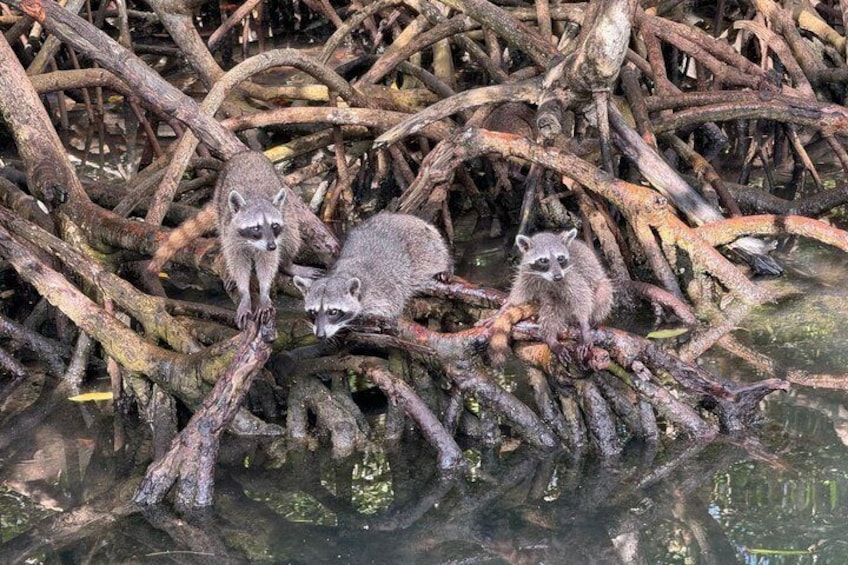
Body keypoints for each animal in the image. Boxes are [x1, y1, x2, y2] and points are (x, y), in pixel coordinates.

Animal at [149, 151, 302, 329]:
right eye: (256, 228)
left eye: (274, 225)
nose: (271, 246)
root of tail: (247, 152)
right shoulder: (231, 232)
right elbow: (237, 262)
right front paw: (245, 294)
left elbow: (268, 262)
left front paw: (264, 293)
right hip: (220, 201)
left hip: (287, 208)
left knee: (292, 236)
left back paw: (288, 264)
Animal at [293, 213, 452, 338]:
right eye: (312, 312)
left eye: (333, 312)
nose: (320, 335)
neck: (341, 274)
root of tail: (407, 217)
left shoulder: (384, 290)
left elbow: (389, 309)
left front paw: (359, 320)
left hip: (426, 247)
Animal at [489, 229, 614, 364]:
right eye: (544, 260)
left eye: (560, 258)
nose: (558, 277)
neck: (545, 277)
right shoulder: (526, 273)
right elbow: (519, 295)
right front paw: (505, 307)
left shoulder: (571, 274)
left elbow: (582, 296)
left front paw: (585, 325)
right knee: (550, 307)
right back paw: (551, 339)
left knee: (603, 293)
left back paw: (592, 320)